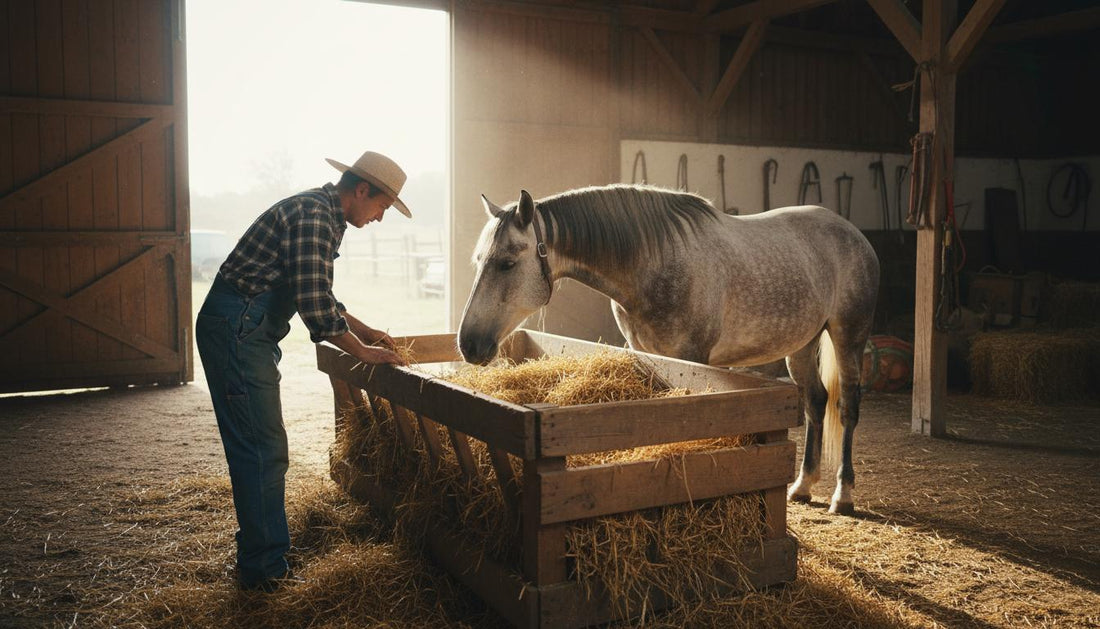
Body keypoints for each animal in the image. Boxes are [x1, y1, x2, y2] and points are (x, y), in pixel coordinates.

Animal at [458, 184, 879, 515]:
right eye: (478, 260)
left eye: (507, 263)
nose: (468, 343)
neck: (653, 263)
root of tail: (853, 234)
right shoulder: (647, 354)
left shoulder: (691, 360)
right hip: (802, 345)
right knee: (815, 403)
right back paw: (802, 486)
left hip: (848, 335)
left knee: (847, 406)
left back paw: (842, 495)